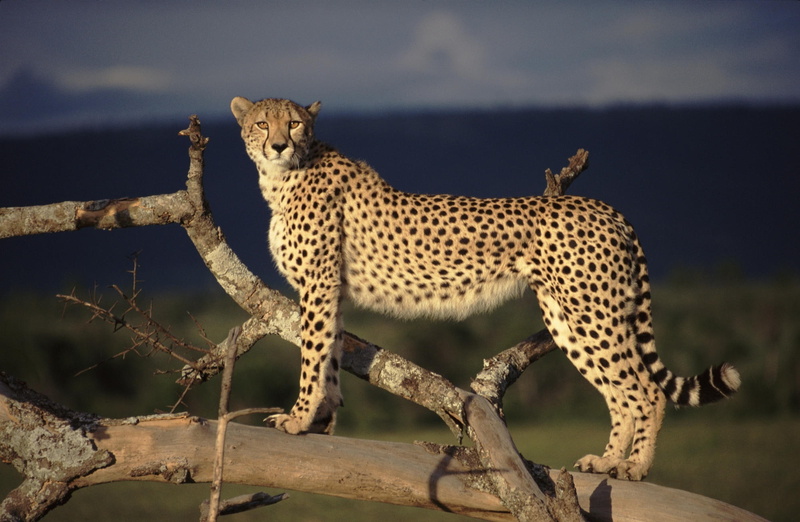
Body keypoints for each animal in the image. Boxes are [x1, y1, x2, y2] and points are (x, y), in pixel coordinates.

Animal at [230, 96, 741, 480]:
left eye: (294, 123)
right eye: (262, 123)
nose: (278, 145)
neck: (285, 176)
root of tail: (604, 206)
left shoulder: (318, 286)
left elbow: (312, 355)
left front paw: (298, 418)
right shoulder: (330, 290)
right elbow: (330, 355)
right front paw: (320, 420)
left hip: (593, 313)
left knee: (645, 391)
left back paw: (634, 468)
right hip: (568, 319)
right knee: (620, 394)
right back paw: (607, 460)